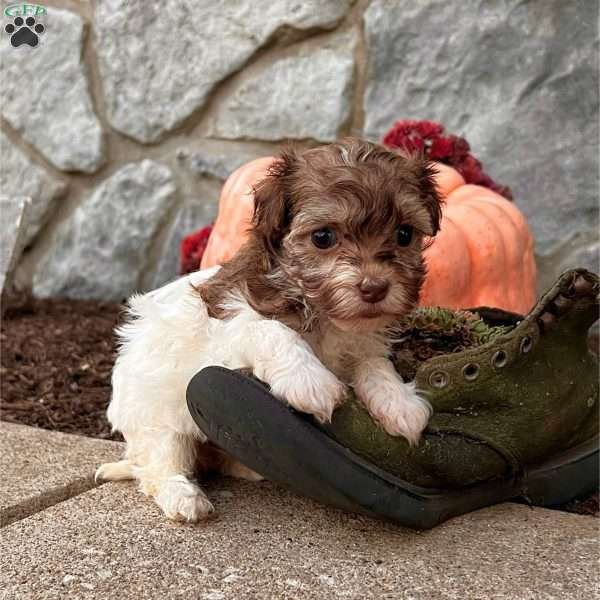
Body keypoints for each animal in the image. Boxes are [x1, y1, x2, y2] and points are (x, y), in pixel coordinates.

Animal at [97, 139, 440, 520]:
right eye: (323, 237)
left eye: (404, 234)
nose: (375, 288)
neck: (319, 310)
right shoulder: (228, 326)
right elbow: (271, 331)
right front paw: (310, 382)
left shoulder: (359, 341)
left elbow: (374, 364)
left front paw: (398, 404)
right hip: (156, 416)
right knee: (159, 464)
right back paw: (182, 496)